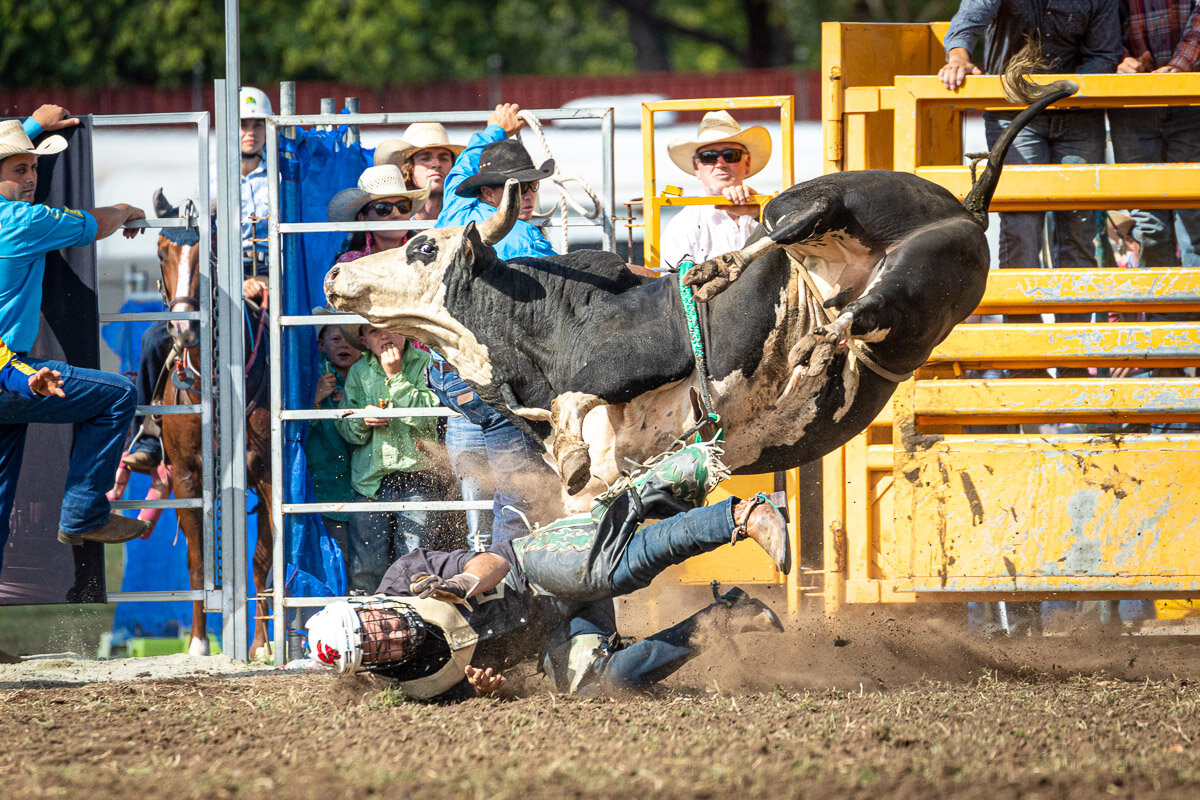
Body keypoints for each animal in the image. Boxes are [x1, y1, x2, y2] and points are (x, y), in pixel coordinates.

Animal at [151, 194, 273, 657]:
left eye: (212, 249)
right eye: (161, 252)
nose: (184, 327)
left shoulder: (267, 476)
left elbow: (261, 559)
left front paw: (260, 645)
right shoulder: (187, 478)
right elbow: (198, 561)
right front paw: (199, 642)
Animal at [324, 62, 1075, 513]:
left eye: (423, 246)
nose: (334, 275)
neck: (548, 324)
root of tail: (964, 207)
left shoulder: (623, 374)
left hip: (847, 217)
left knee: (802, 241)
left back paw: (748, 292)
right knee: (848, 304)